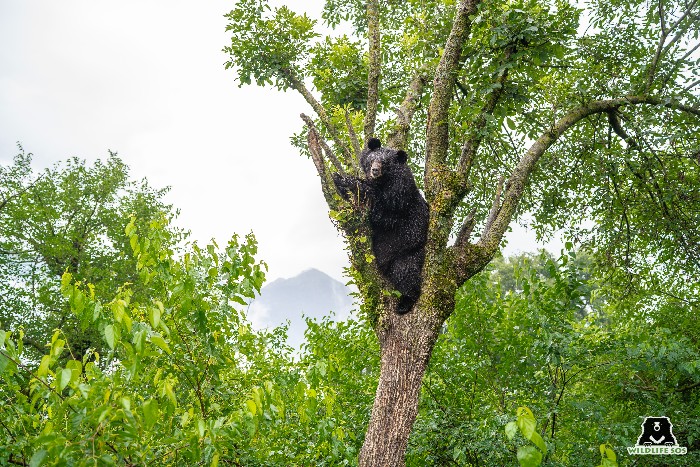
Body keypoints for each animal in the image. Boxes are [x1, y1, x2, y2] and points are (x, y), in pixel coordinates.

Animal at [332, 139, 430, 314]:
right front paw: (338, 177)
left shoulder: (398, 198)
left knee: (406, 274)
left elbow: (377, 203)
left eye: (385, 163)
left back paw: (404, 304)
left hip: (408, 250)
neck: (382, 182)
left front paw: (345, 181)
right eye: (372, 159)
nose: (375, 170)